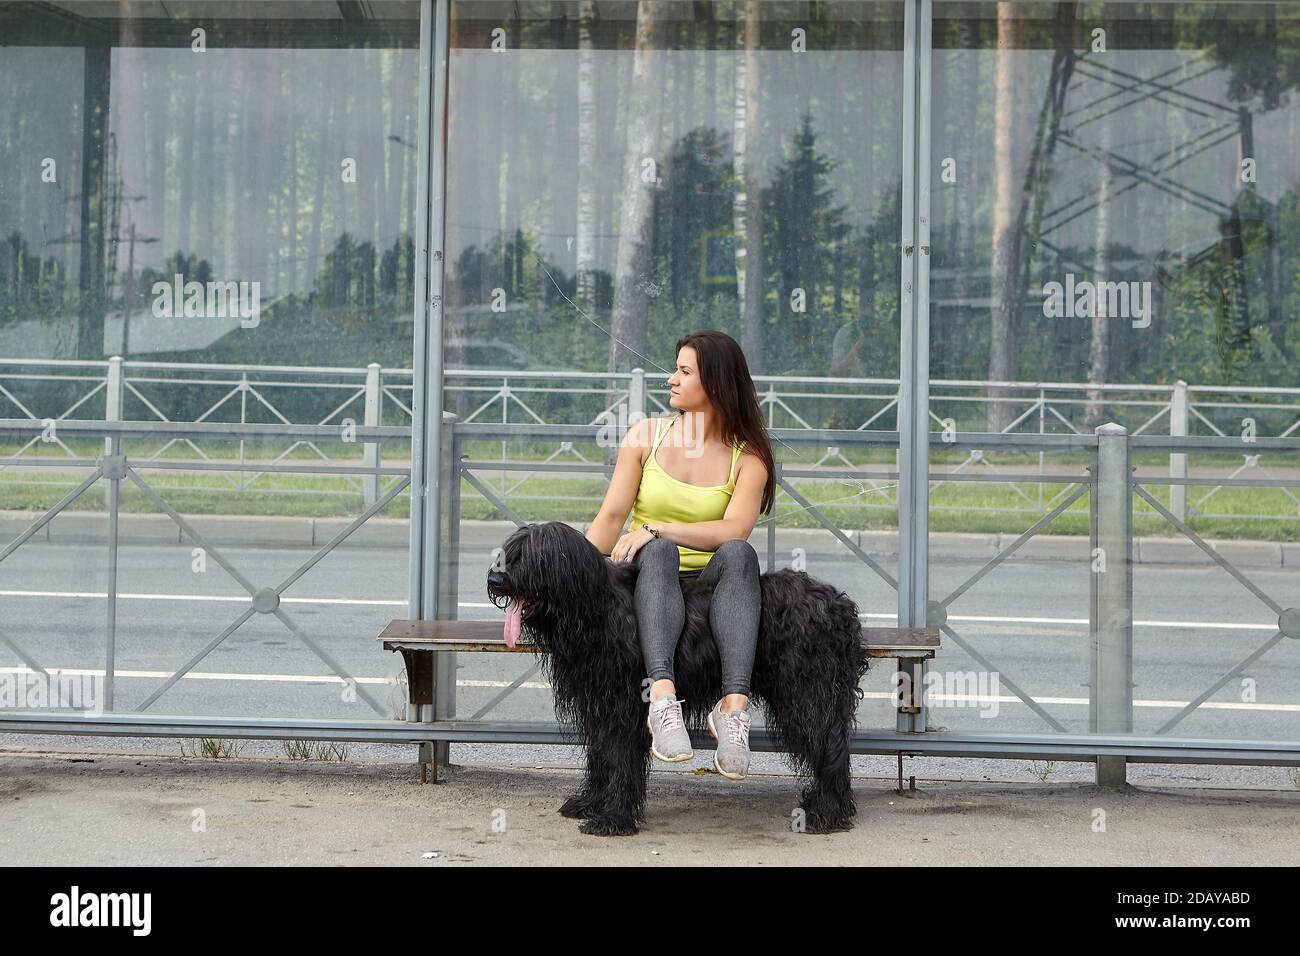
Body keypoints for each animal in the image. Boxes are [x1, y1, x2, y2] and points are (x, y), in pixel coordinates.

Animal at [483, 522, 868, 837]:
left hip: (807, 692)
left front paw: (613, 817)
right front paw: (590, 802)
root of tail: (838, 605)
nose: (494, 580)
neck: (595, 608)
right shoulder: (598, 703)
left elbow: (619, 758)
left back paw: (826, 814)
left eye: (529, 556)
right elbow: (600, 756)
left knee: (829, 744)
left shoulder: (623, 705)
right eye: (507, 553)